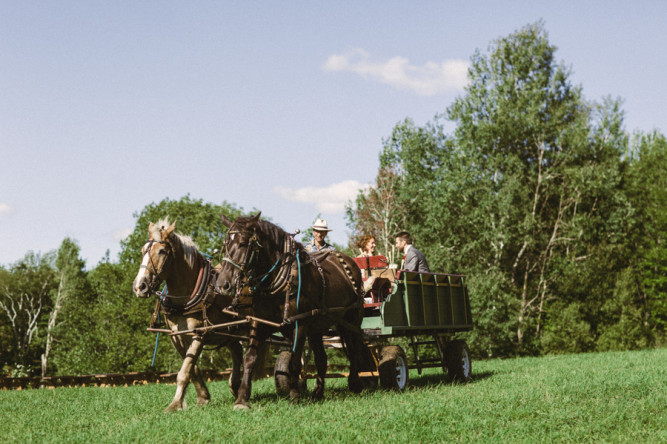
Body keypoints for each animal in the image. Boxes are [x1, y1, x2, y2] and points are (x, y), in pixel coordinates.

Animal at [132, 219, 258, 412]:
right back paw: (235, 386)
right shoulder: (176, 336)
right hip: (229, 330)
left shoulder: (199, 333)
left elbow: (184, 371)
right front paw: (202, 398)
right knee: (237, 351)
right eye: (143, 250)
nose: (140, 286)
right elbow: (192, 367)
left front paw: (175, 404)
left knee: (251, 356)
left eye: (162, 251)